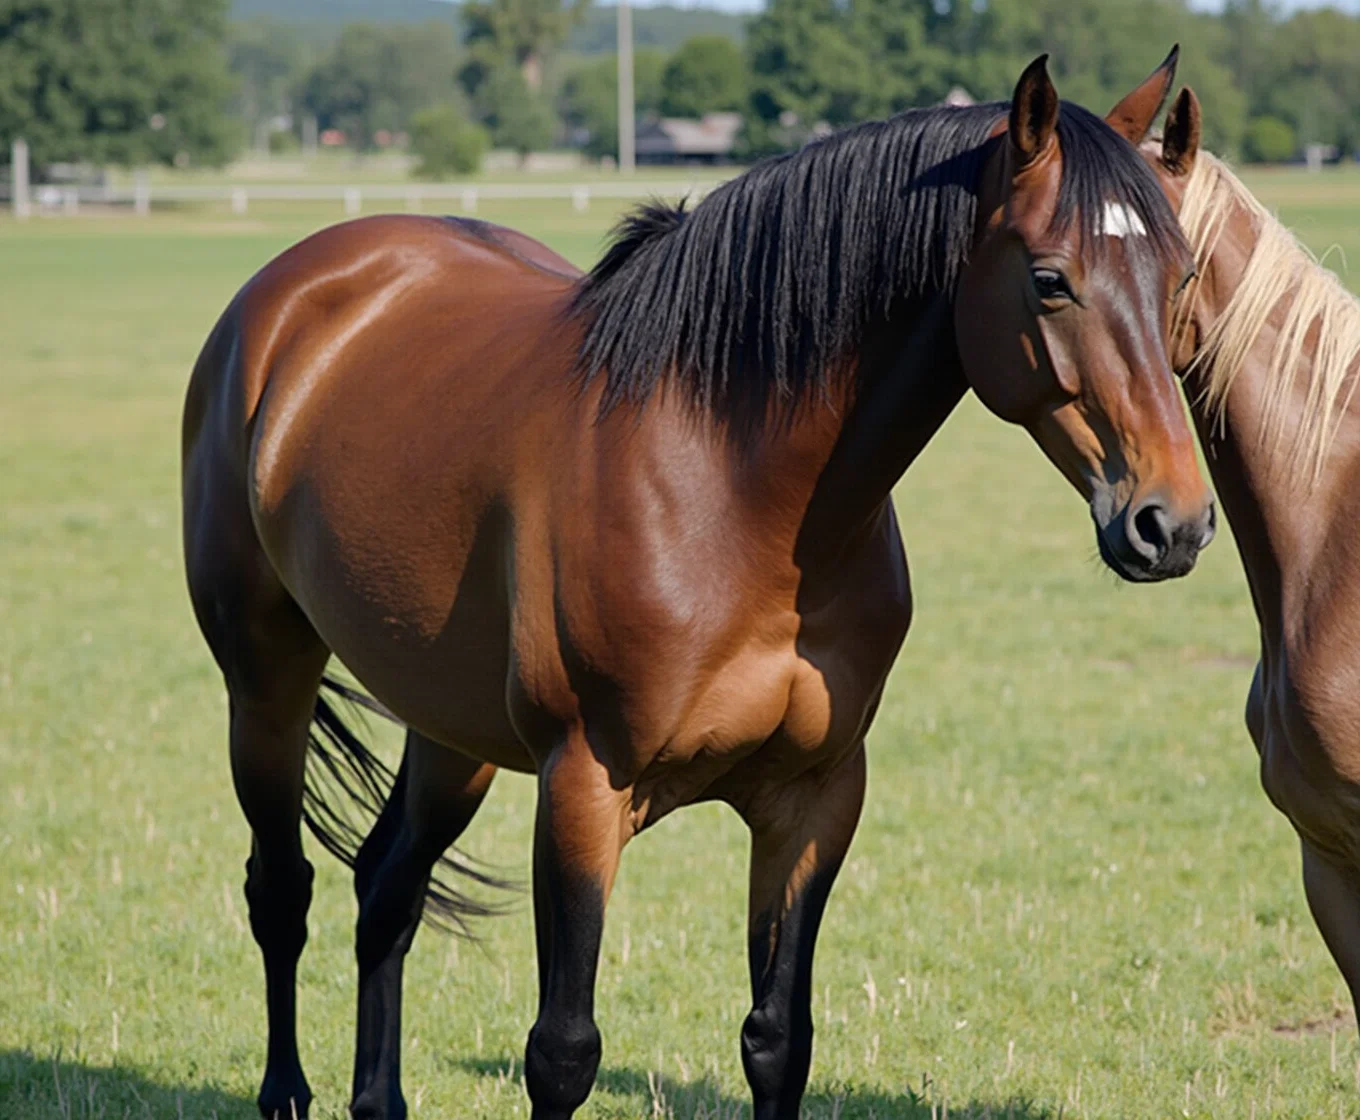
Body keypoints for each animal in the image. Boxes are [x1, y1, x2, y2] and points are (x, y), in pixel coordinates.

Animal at [180, 54, 1213, 1120]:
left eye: (1181, 278)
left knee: (386, 887)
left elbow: (777, 1040)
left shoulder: (814, 799)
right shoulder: (583, 788)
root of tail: (296, 291)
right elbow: (562, 1051)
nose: (1169, 522)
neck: (737, 493)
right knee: (281, 888)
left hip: (448, 726)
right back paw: (285, 1091)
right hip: (266, 681)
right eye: (1050, 280)